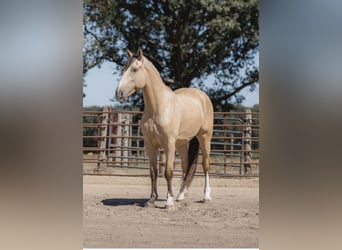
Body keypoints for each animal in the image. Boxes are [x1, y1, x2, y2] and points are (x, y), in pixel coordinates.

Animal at [116, 47, 215, 209]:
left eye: (135, 69)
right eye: (124, 68)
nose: (119, 93)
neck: (158, 107)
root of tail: (202, 96)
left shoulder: (169, 144)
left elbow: (168, 172)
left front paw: (169, 202)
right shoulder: (149, 145)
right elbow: (153, 172)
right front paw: (151, 200)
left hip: (204, 137)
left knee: (205, 165)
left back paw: (206, 196)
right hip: (182, 143)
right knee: (186, 166)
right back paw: (180, 195)